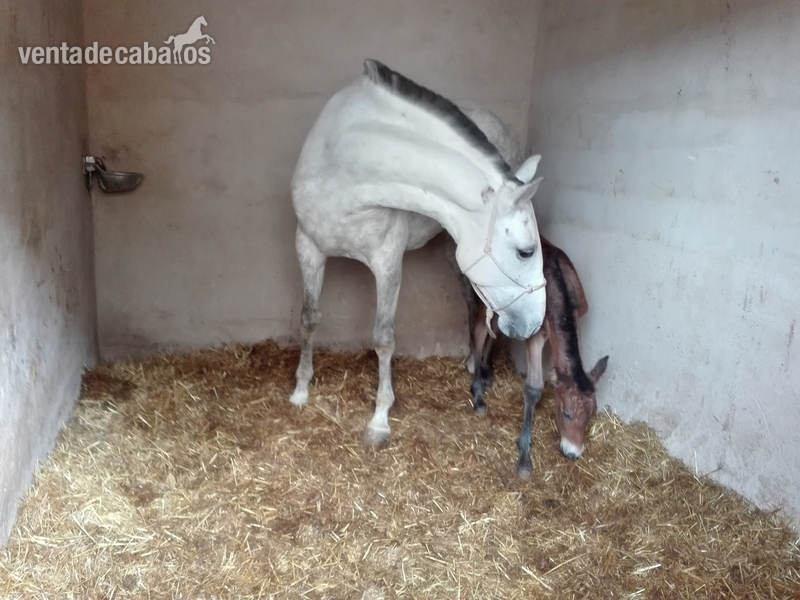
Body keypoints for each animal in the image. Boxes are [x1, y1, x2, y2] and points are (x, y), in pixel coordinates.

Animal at [289, 59, 547, 447]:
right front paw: (301, 390)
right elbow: (309, 319)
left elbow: (383, 338)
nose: (535, 323)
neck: (341, 170)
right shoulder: (308, 247)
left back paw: (477, 368)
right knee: (473, 306)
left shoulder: (387, 261)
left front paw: (379, 420)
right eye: (526, 251)